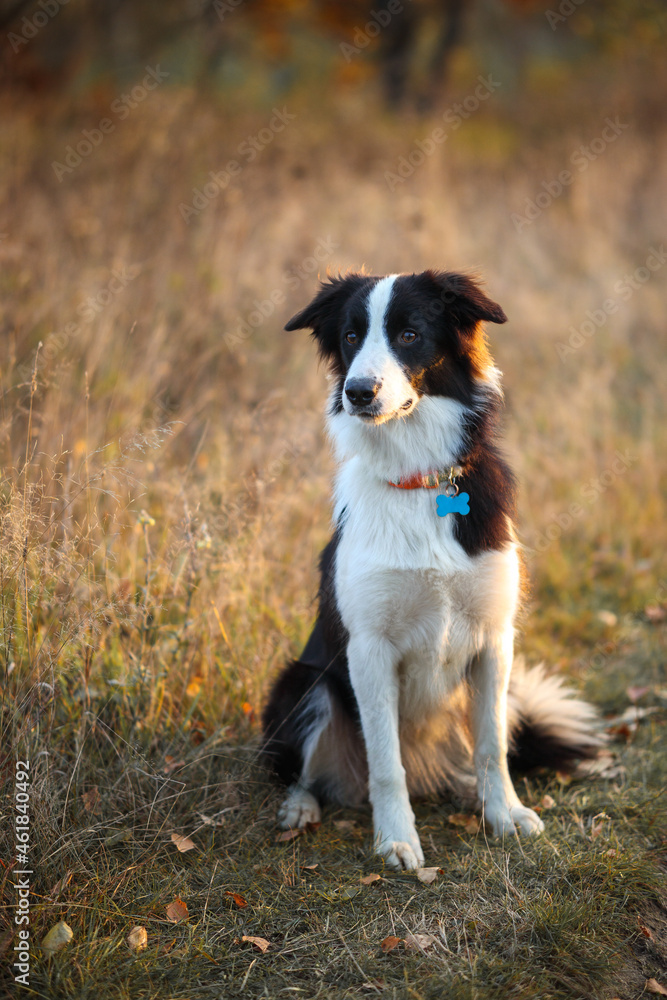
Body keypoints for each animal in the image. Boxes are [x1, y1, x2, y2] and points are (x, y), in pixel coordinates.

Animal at [262, 270, 604, 872]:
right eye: (350, 336)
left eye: (409, 334)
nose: (357, 392)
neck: (419, 480)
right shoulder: (368, 648)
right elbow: (385, 762)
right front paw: (396, 840)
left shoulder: (495, 639)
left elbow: (491, 745)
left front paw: (504, 815)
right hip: (305, 686)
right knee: (302, 772)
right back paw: (300, 808)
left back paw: (469, 791)